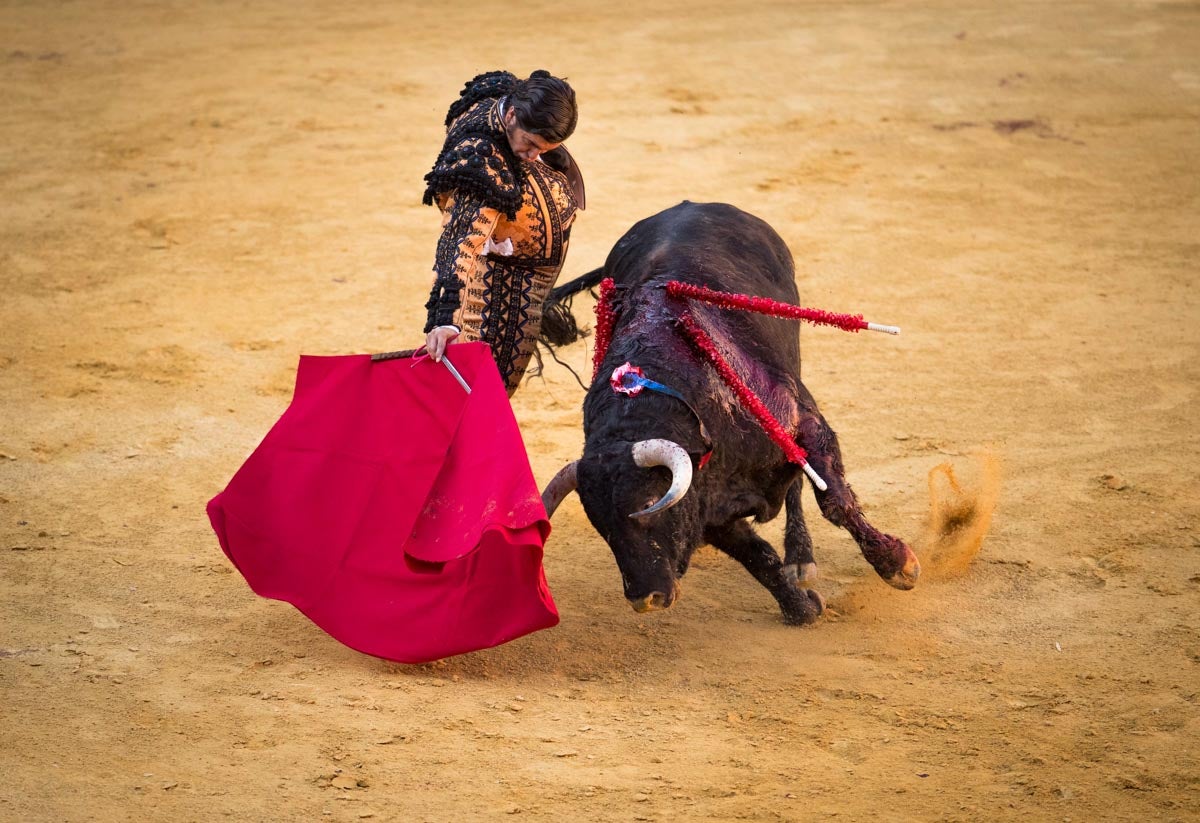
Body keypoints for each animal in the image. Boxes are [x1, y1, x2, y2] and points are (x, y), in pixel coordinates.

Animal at [540, 201, 921, 623]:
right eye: (601, 526)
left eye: (648, 506)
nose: (645, 599)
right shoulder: (710, 507)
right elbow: (757, 557)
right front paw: (801, 609)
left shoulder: (805, 424)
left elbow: (834, 501)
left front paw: (897, 564)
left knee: (801, 484)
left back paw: (801, 557)